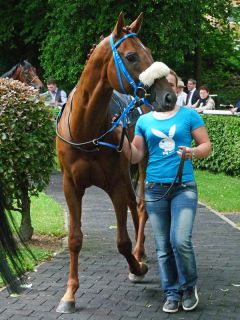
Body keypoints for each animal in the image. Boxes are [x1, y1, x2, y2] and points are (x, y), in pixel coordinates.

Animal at [56, 12, 176, 312]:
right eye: (132, 56)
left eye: (150, 53)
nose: (168, 96)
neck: (87, 130)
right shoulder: (71, 185)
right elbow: (75, 239)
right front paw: (69, 294)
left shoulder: (114, 184)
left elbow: (122, 240)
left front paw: (137, 267)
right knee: (136, 206)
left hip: (142, 165)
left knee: (142, 207)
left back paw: (140, 254)